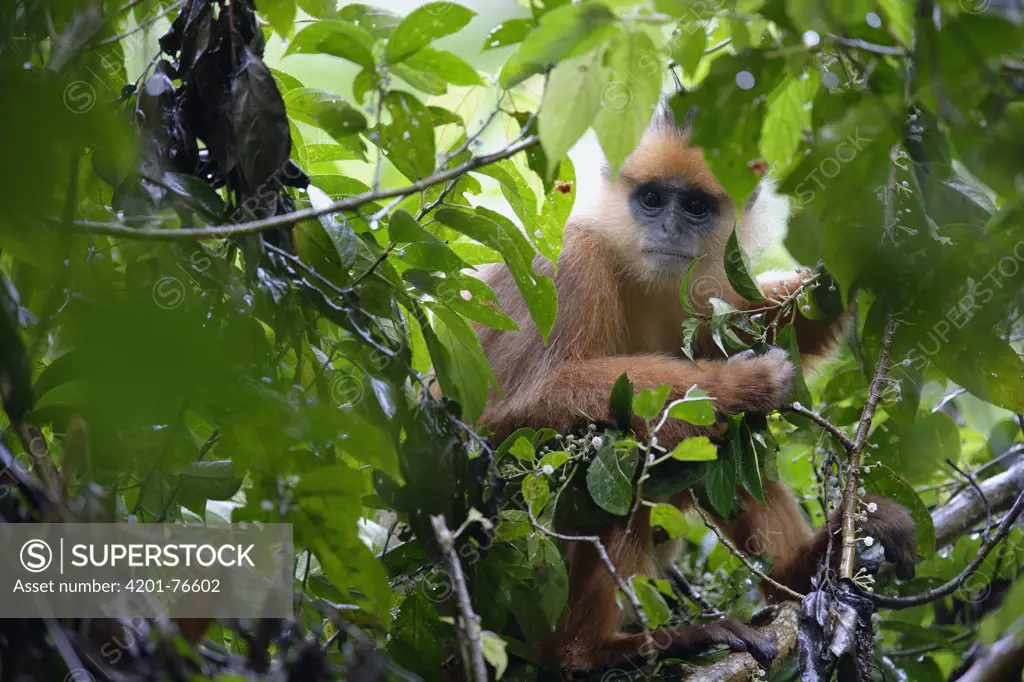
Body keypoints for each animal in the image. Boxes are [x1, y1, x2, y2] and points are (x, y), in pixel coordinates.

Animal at [468, 106, 917, 667]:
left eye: (696, 207)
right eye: (652, 200)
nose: (669, 228)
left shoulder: (702, 286)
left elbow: (744, 323)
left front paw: (843, 275)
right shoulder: (569, 264)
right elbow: (525, 403)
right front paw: (741, 383)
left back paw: (807, 567)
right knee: (615, 446)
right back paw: (597, 651)